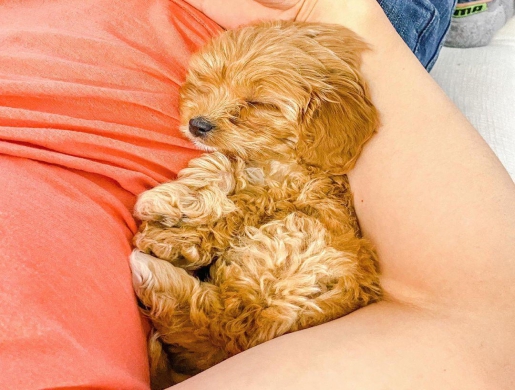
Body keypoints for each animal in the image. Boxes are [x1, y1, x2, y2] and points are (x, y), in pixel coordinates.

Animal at [132, 20, 382, 386]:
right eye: (206, 79)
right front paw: (182, 199)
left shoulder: (292, 195)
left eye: (257, 103)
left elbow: (238, 203)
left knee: (224, 323)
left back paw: (153, 273)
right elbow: (221, 167)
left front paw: (170, 230)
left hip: (289, 261)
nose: (197, 125)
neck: (278, 156)